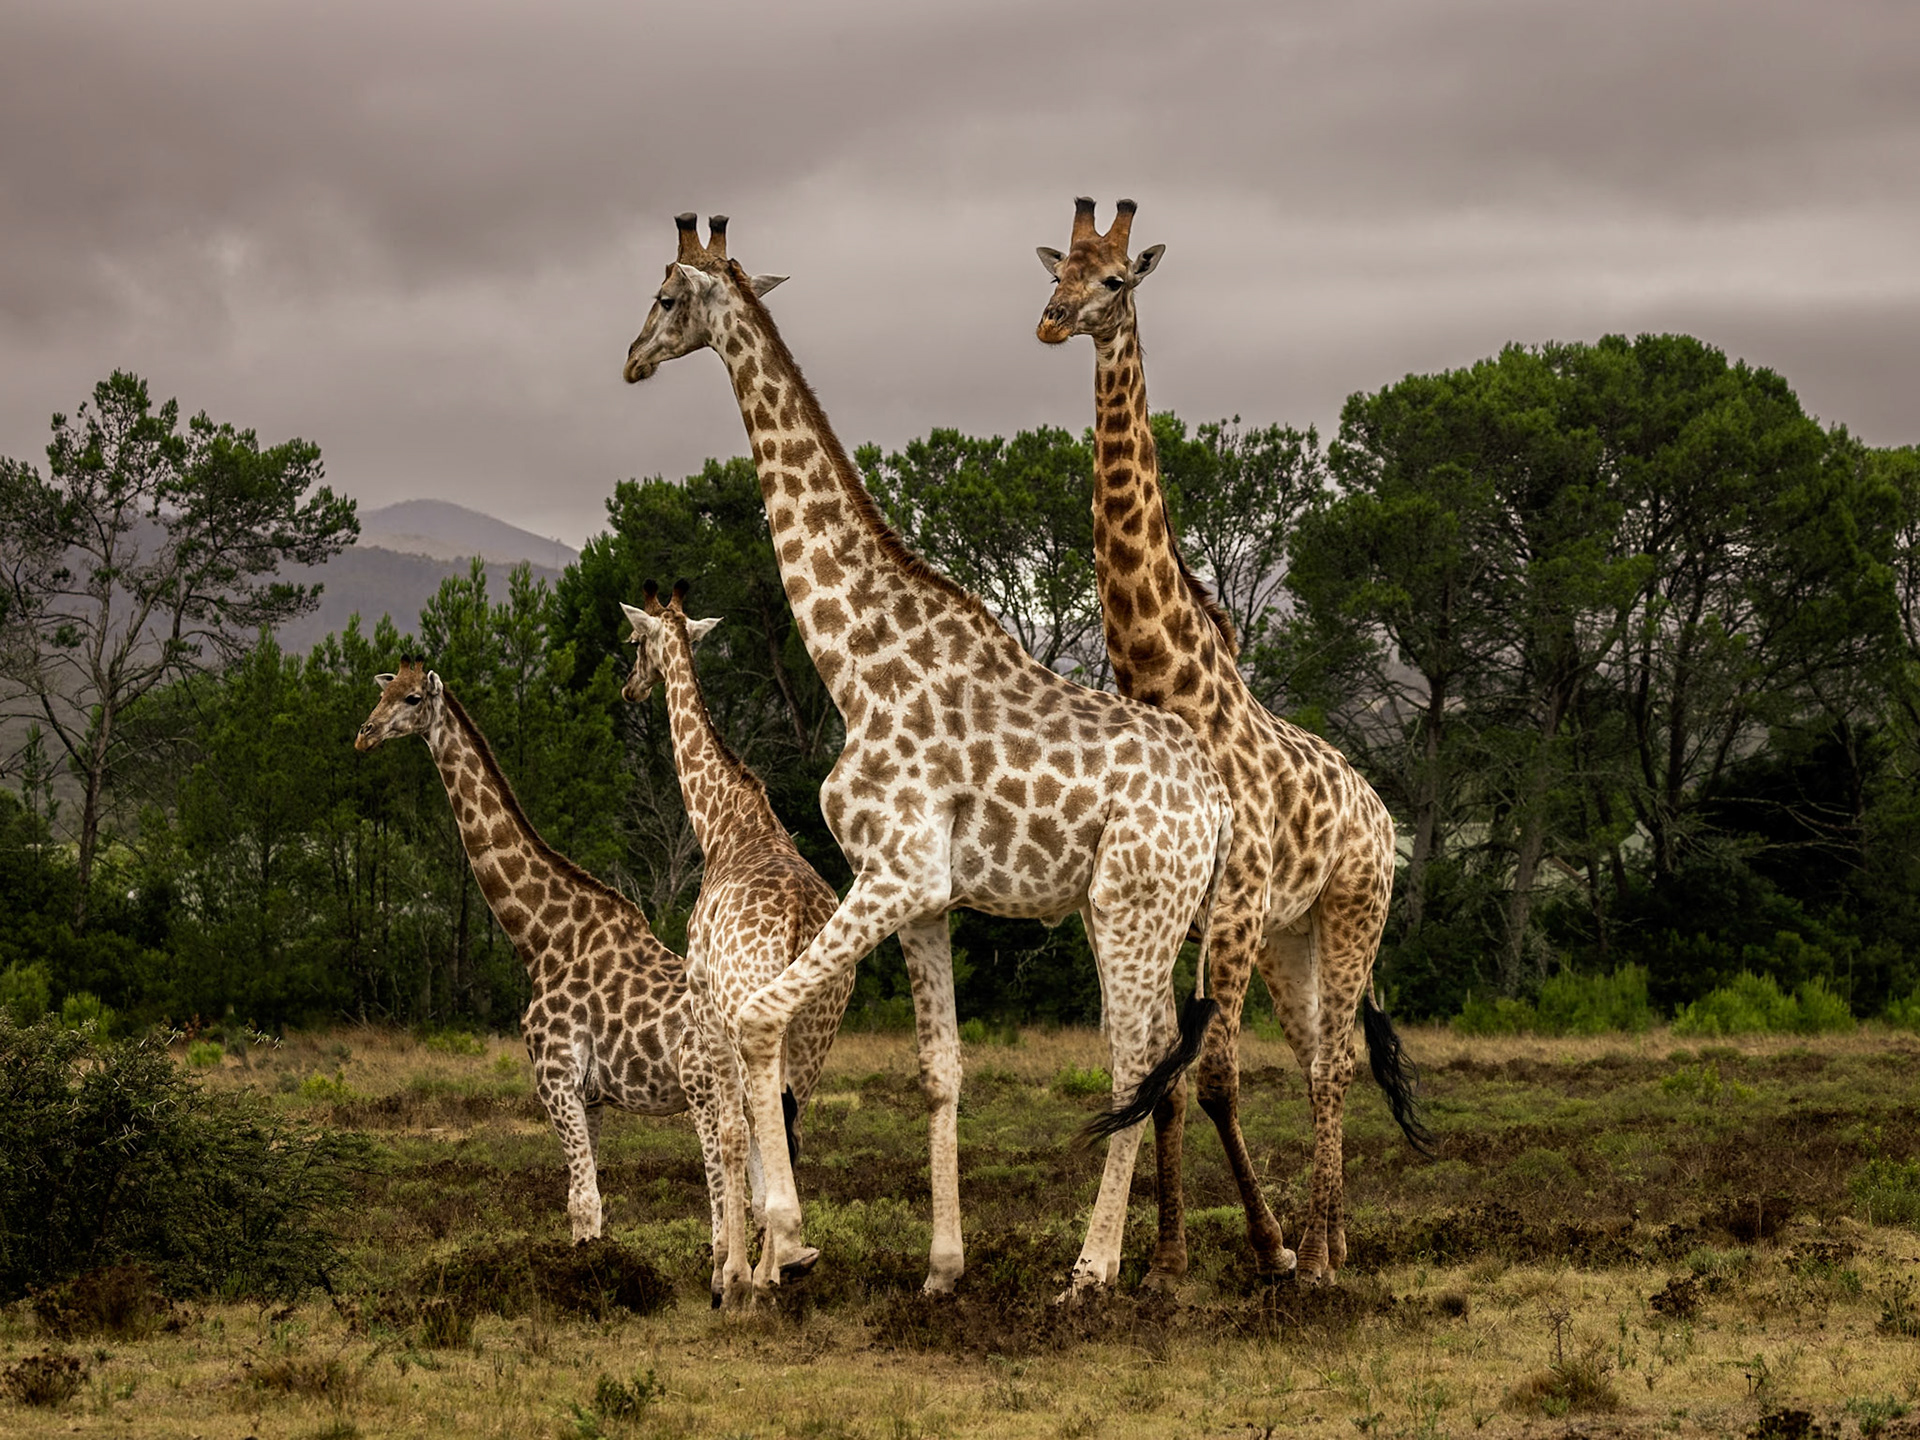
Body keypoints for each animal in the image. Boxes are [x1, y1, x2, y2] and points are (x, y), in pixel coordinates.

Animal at [354, 660, 738, 1291]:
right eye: (382, 693)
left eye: (411, 699)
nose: (364, 734)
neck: (540, 939)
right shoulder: (592, 1096)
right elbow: (586, 1200)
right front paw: (598, 1274)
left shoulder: (555, 1077)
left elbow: (584, 1201)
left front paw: (586, 1288)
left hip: (706, 1093)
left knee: (726, 1190)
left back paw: (726, 1280)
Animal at [619, 578, 854, 1307]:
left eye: (633, 640)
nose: (629, 688)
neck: (722, 825)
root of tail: (800, 921)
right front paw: (760, 1266)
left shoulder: (706, 1012)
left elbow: (726, 1136)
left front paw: (729, 1275)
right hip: (817, 1026)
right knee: (791, 1125)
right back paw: (789, 1262)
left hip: (756, 1019)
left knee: (753, 1125)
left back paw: (760, 1274)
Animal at [1035, 197, 1432, 1286]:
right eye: (1052, 271)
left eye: (1114, 279)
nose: (1051, 322)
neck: (1167, 683)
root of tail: (1377, 806)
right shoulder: (1181, 911)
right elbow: (1165, 1080)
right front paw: (1169, 1259)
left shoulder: (1236, 904)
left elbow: (1213, 1080)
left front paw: (1269, 1250)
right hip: (1293, 939)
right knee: (1319, 1053)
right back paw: (1330, 1235)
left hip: (1349, 911)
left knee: (1335, 1060)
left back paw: (1326, 1251)